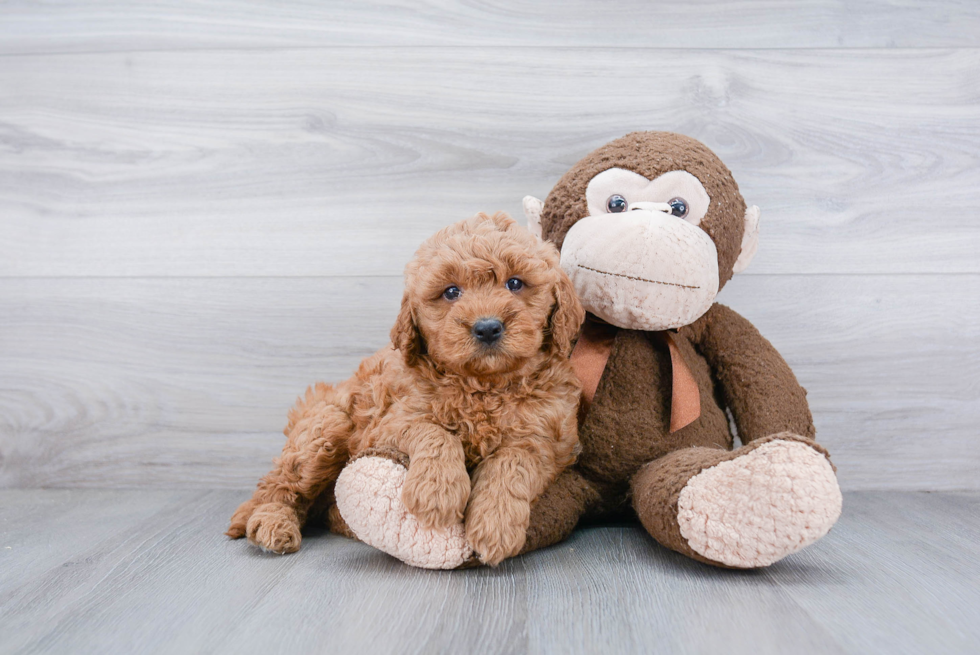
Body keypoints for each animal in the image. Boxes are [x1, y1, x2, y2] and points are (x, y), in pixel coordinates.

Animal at [229, 214, 580, 564]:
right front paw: (436, 491)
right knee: (279, 487)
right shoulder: (388, 423)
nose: (487, 327)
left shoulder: (547, 441)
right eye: (451, 292)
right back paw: (272, 524)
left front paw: (496, 523)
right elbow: (434, 431)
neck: (484, 386)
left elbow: (513, 461)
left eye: (515, 284)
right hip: (324, 430)